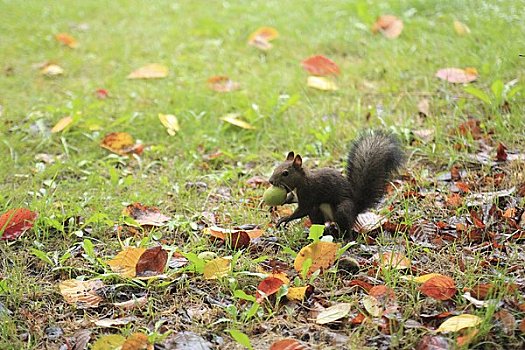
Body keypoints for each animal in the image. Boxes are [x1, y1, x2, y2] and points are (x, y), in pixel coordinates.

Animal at [268, 130, 404, 239]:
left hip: (342, 210)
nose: (270, 181)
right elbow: (292, 199)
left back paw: (345, 238)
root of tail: (356, 209)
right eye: (275, 168)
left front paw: (285, 219)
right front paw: (280, 203)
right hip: (318, 213)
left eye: (285, 173)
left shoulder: (309, 192)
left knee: (346, 228)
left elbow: (302, 210)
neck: (301, 181)